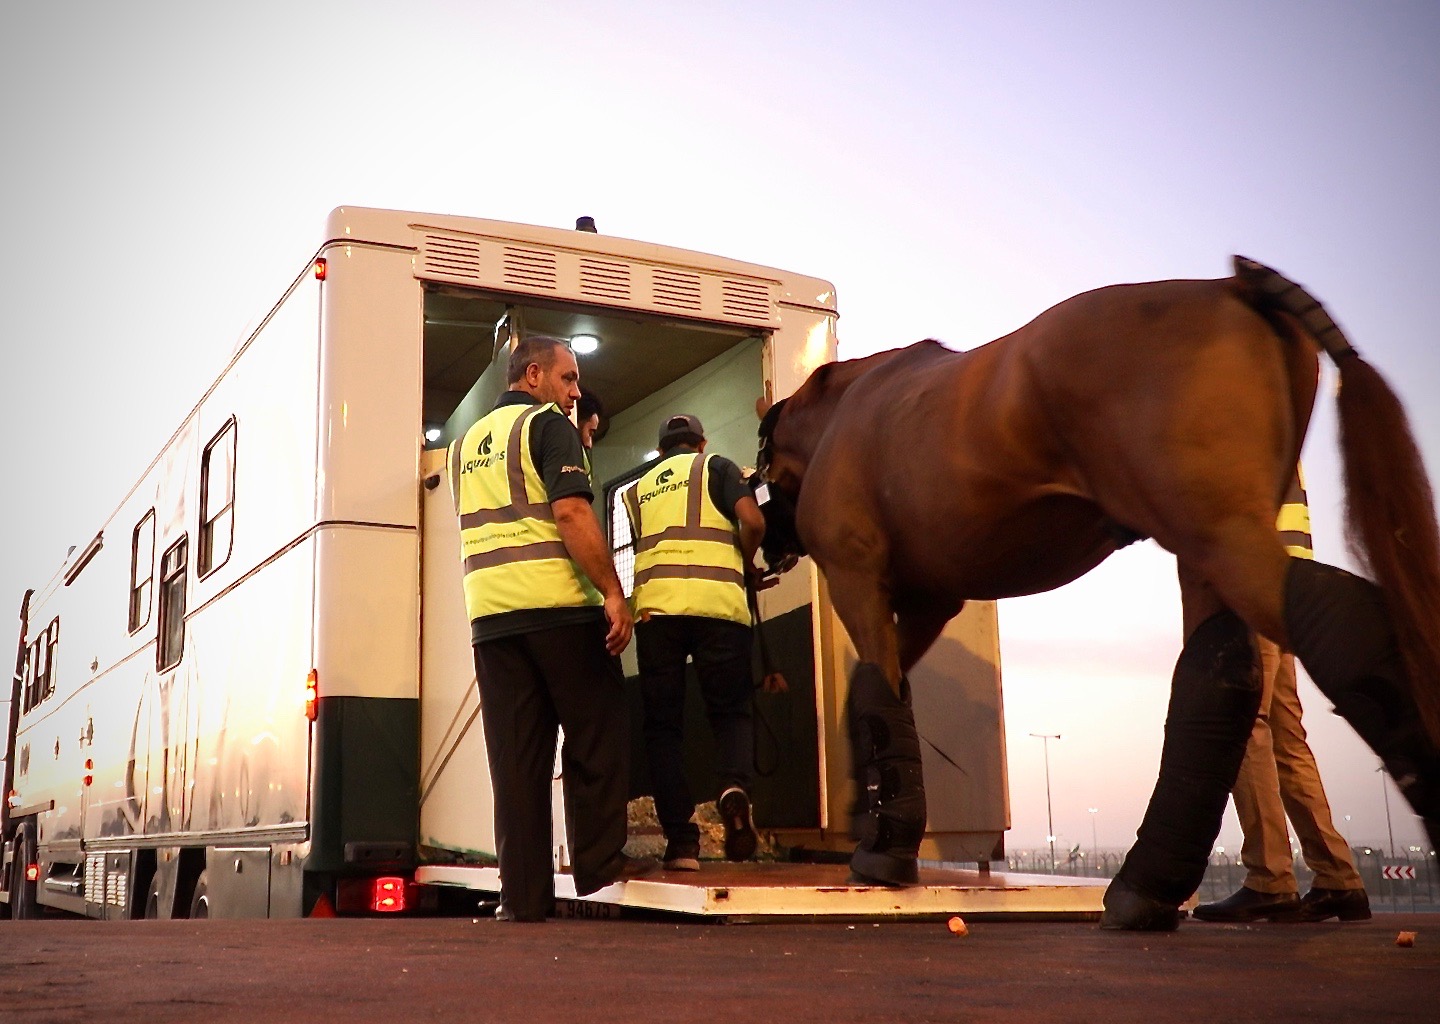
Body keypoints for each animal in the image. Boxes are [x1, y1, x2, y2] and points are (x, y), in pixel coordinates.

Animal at [754, 257, 1440, 930]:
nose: (767, 550)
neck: (843, 412)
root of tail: (1236, 284)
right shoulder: (928, 599)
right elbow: (879, 689)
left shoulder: (859, 575)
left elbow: (876, 688)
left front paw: (881, 848)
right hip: (1204, 549)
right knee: (1220, 671)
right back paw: (1145, 888)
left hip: (1225, 535)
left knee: (1350, 626)